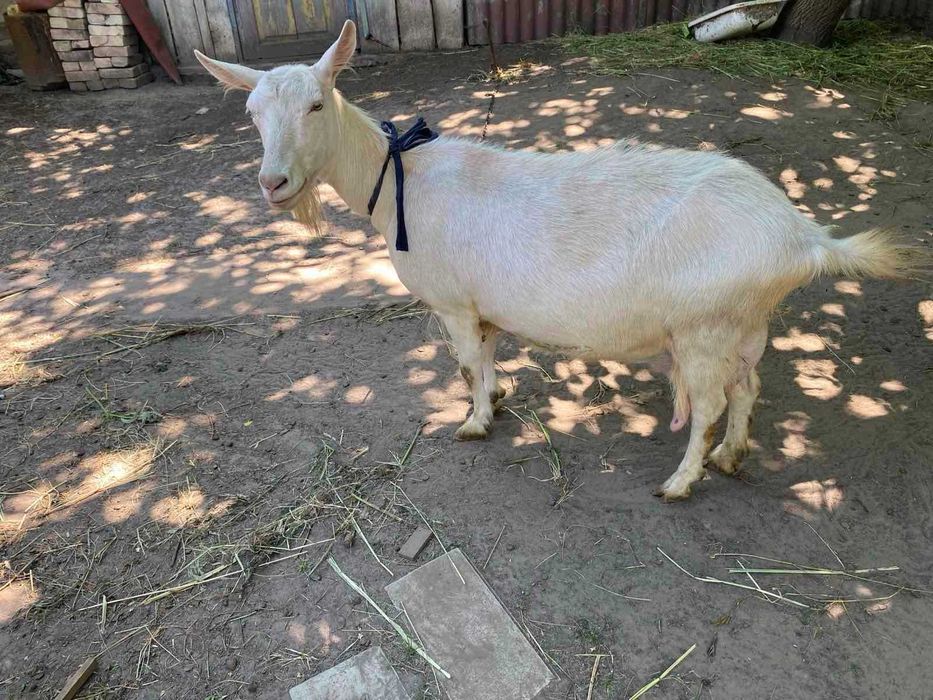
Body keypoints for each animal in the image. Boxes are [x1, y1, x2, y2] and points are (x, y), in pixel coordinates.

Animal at [195, 20, 918, 501]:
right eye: (252, 113)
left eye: (317, 104)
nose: (274, 183)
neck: (403, 178)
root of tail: (803, 237)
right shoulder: (482, 305)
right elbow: (486, 358)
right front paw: (496, 395)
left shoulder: (452, 302)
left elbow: (464, 363)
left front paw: (475, 423)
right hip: (743, 321)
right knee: (748, 388)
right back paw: (730, 457)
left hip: (704, 325)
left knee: (711, 400)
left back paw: (682, 480)